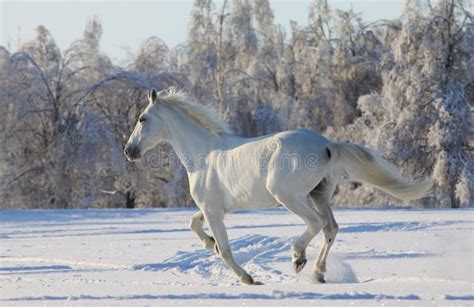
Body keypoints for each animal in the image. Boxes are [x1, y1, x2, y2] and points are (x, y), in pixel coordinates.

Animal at [124, 88, 432, 286]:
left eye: (142, 118)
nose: (128, 151)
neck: (203, 155)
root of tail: (327, 145)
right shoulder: (214, 209)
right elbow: (194, 224)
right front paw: (209, 243)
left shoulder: (213, 211)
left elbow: (225, 250)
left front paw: (248, 279)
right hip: (318, 195)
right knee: (331, 228)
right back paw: (318, 272)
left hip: (289, 197)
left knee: (317, 224)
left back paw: (298, 258)